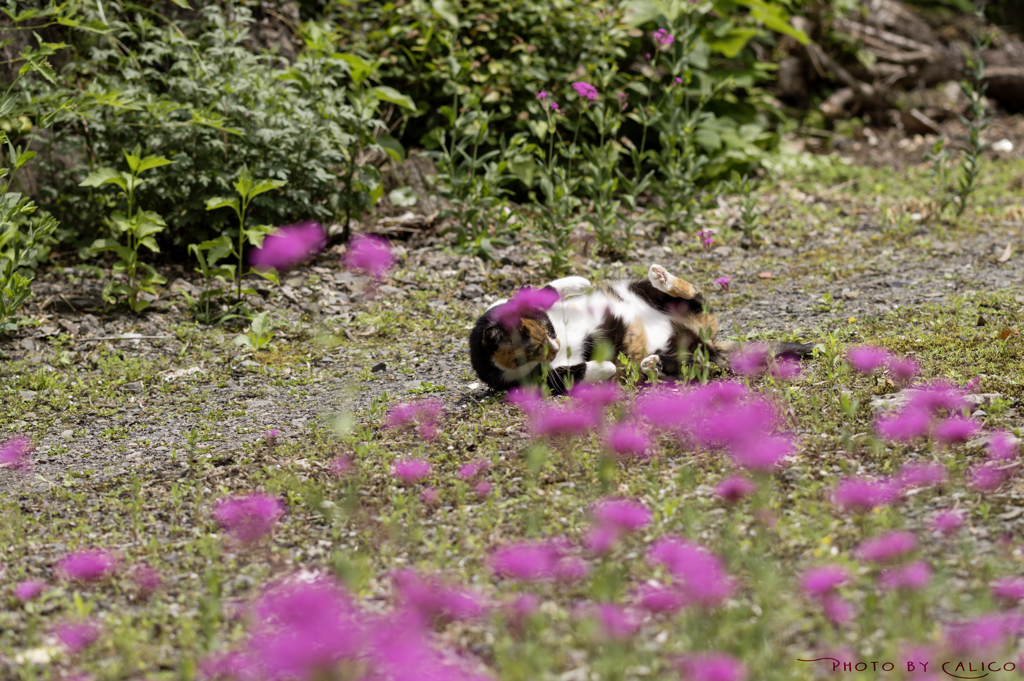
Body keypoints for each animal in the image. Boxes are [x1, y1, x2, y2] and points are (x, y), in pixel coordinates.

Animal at [468, 264, 811, 393]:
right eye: (537, 348)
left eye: (550, 330)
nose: (555, 345)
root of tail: (708, 340)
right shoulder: (541, 379)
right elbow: (574, 371)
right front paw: (606, 366)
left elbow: (549, 288)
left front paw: (580, 281)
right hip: (689, 356)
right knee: (692, 364)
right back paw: (651, 364)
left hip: (643, 291)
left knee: (694, 298)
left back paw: (664, 277)